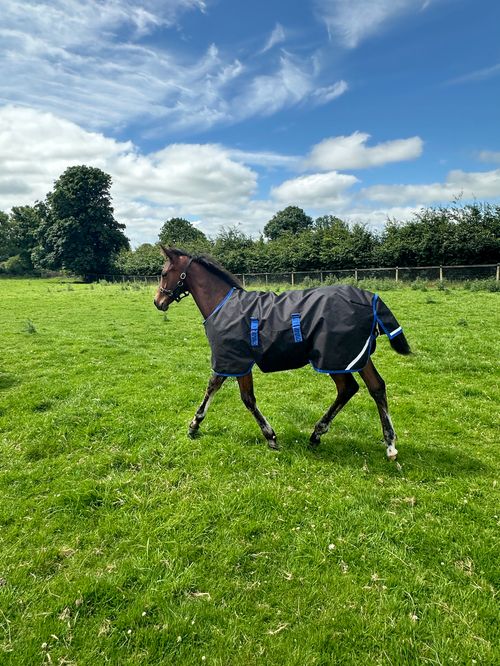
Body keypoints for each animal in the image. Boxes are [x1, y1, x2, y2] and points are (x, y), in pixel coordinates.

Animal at [154, 247, 411, 460]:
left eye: (164, 272)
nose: (158, 301)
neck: (222, 305)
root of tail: (370, 298)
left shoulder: (235, 360)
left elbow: (238, 395)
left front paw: (269, 437)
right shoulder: (233, 361)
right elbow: (222, 389)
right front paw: (195, 425)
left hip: (333, 358)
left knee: (348, 388)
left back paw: (319, 433)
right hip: (356, 356)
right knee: (376, 387)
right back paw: (388, 444)